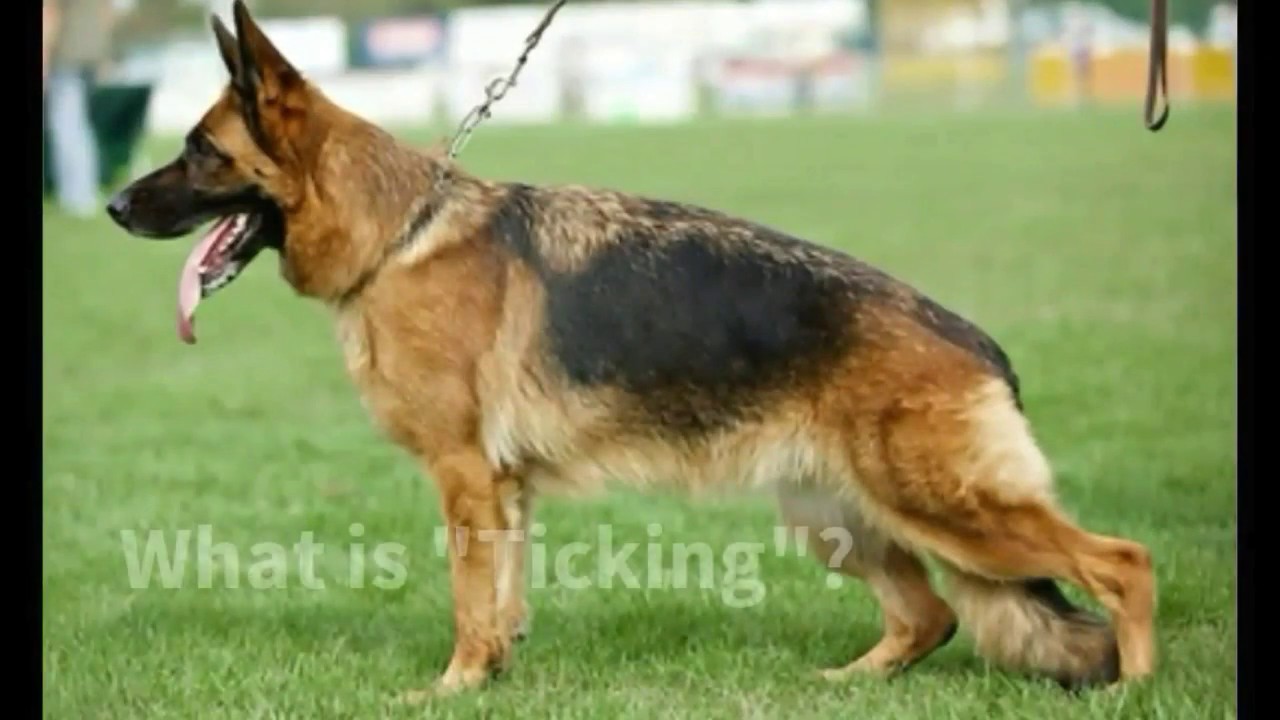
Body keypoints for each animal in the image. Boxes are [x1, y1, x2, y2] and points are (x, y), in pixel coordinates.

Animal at [104, 0, 1157, 696]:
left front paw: (450, 689)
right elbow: (501, 600)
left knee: (1124, 562)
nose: (110, 206)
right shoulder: (502, 488)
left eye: (199, 151)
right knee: (932, 615)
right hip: (838, 515)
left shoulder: (462, 477)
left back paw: (1136, 687)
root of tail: (978, 344)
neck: (397, 232)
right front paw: (492, 677)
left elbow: (467, 599)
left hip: (945, 508)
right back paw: (847, 683)